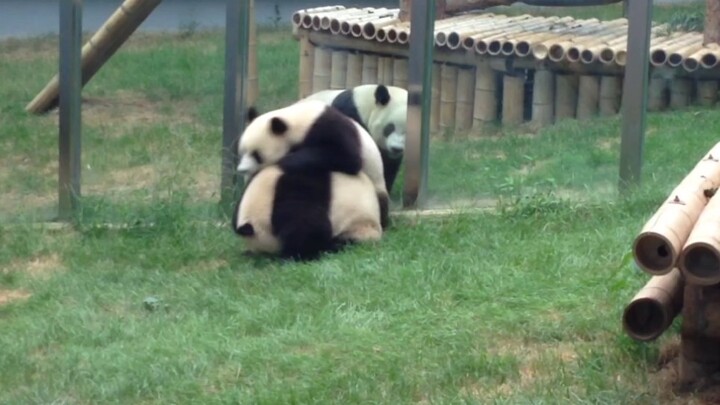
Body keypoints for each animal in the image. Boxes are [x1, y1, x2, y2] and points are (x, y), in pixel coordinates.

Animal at [235, 161, 382, 258]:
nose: (253, 252)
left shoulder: (292, 193)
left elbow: (308, 226)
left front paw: (294, 254)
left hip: (359, 226)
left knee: (348, 239)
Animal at [238, 98, 388, 227]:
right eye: (243, 151)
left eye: (256, 155)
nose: (241, 170)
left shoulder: (330, 127)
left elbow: (348, 157)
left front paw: (287, 160)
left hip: (376, 185)